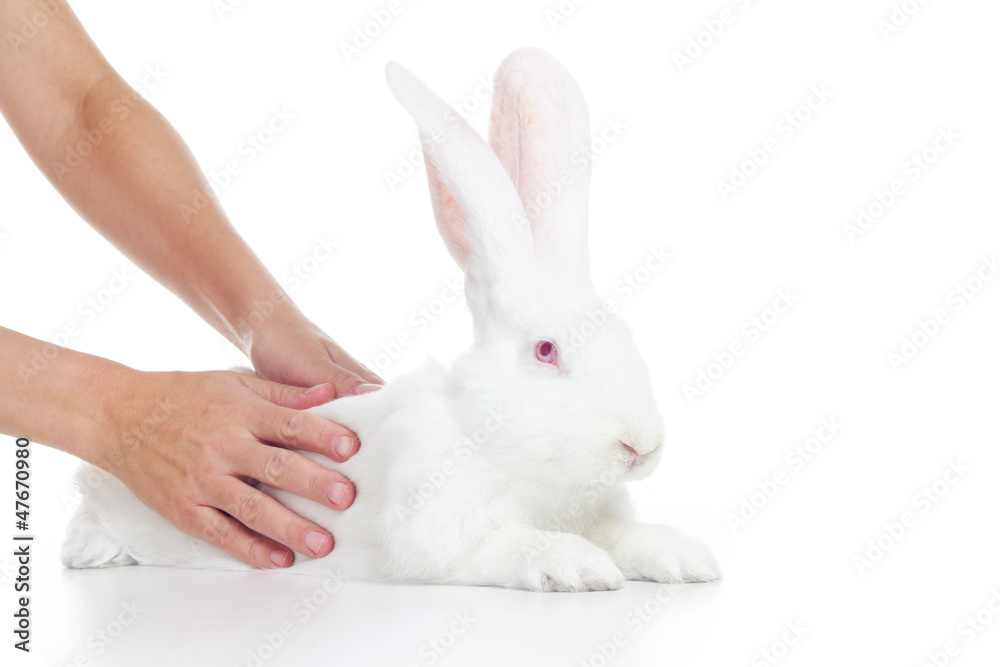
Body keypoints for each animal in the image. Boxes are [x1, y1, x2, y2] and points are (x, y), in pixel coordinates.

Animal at [61, 47, 720, 592]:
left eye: (627, 336)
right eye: (546, 351)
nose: (642, 446)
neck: (490, 438)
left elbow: (626, 537)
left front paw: (687, 557)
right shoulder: (444, 532)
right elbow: (508, 547)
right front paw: (577, 566)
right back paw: (88, 551)